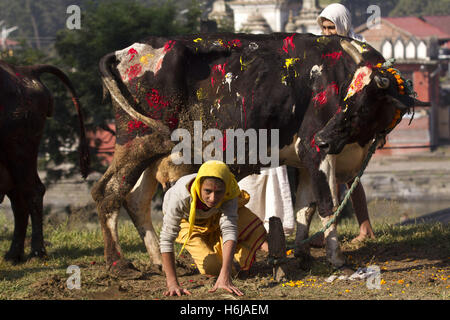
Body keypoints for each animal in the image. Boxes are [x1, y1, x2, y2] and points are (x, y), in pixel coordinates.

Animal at [92, 33, 426, 272]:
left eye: (363, 103)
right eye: (347, 98)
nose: (325, 136)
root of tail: (126, 51)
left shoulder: (305, 157)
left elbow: (305, 208)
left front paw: (303, 253)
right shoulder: (314, 150)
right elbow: (327, 204)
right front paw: (336, 258)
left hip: (152, 151)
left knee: (135, 199)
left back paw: (160, 261)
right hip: (136, 140)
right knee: (108, 191)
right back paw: (119, 264)